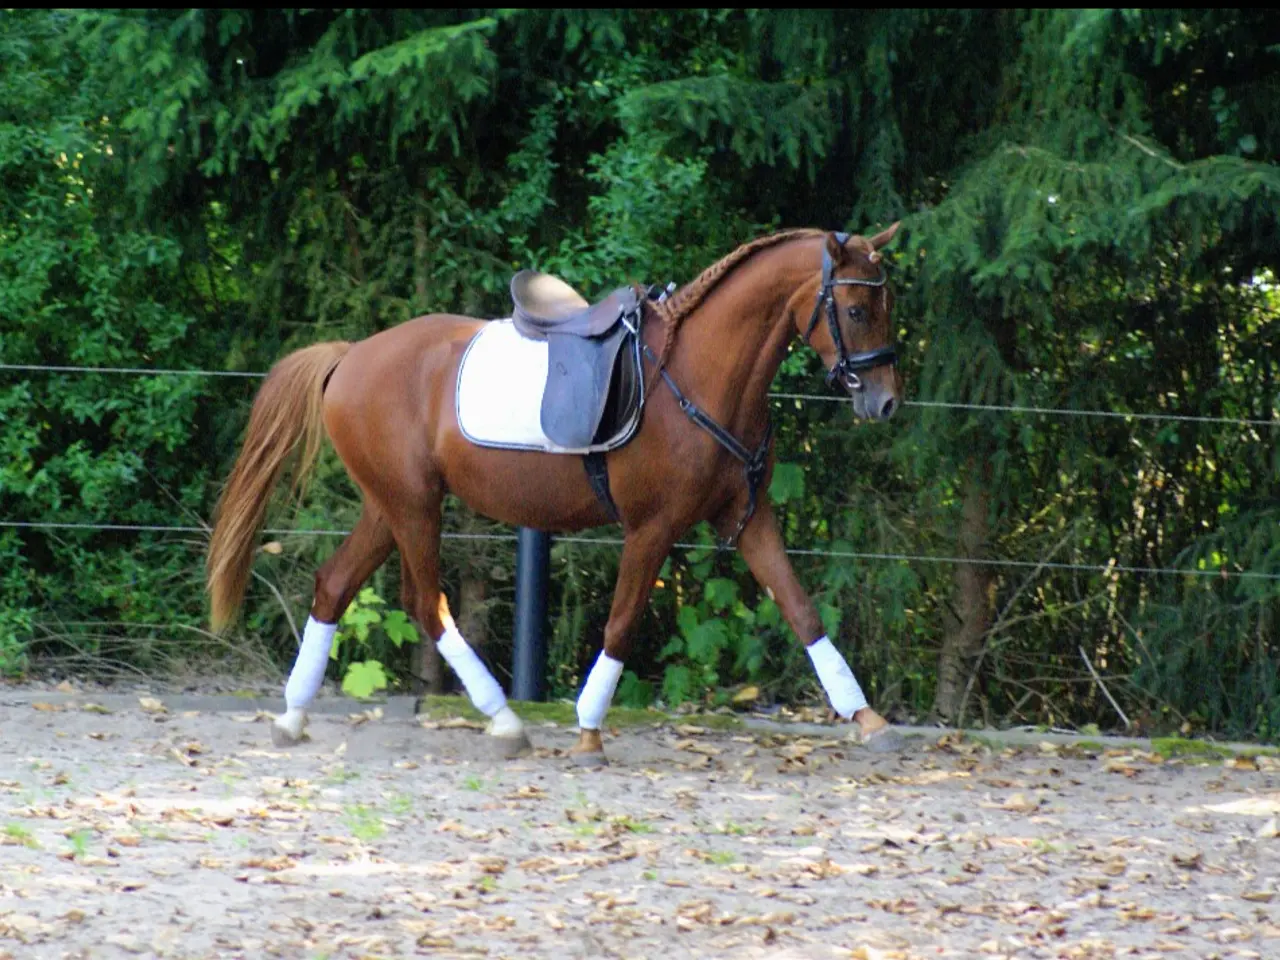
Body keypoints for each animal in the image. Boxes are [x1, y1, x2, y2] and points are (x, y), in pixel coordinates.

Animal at [205, 223, 907, 765]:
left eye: (885, 306)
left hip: (390, 505)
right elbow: (622, 624)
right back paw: (504, 722)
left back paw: (293, 716)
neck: (701, 375)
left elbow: (802, 609)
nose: (885, 402)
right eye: (854, 310)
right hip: (413, 505)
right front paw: (590, 730)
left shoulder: (747, 515)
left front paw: (868, 719)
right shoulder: (653, 527)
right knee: (426, 603)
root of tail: (350, 356)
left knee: (334, 585)